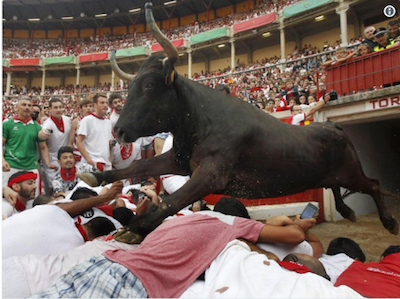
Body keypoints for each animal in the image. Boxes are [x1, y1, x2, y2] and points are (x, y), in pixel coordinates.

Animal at [79, 2, 396, 243]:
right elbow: (139, 167)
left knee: (374, 184)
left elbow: (172, 199)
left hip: (351, 171)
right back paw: (348, 211)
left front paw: (135, 228)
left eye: (148, 85)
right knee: (338, 187)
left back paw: (390, 222)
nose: (119, 130)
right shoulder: (179, 160)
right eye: (130, 88)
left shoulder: (212, 173)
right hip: (331, 174)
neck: (197, 122)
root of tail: (332, 126)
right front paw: (97, 177)